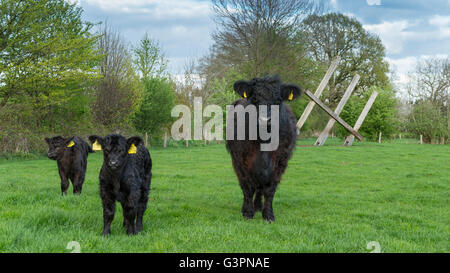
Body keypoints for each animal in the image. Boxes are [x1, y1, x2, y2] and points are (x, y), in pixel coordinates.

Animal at [225, 74, 302, 221]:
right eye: (255, 99)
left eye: (278, 100)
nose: (265, 120)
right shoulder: (241, 160)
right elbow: (248, 188)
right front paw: (248, 213)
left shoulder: (281, 162)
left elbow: (270, 189)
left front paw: (268, 214)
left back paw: (258, 206)